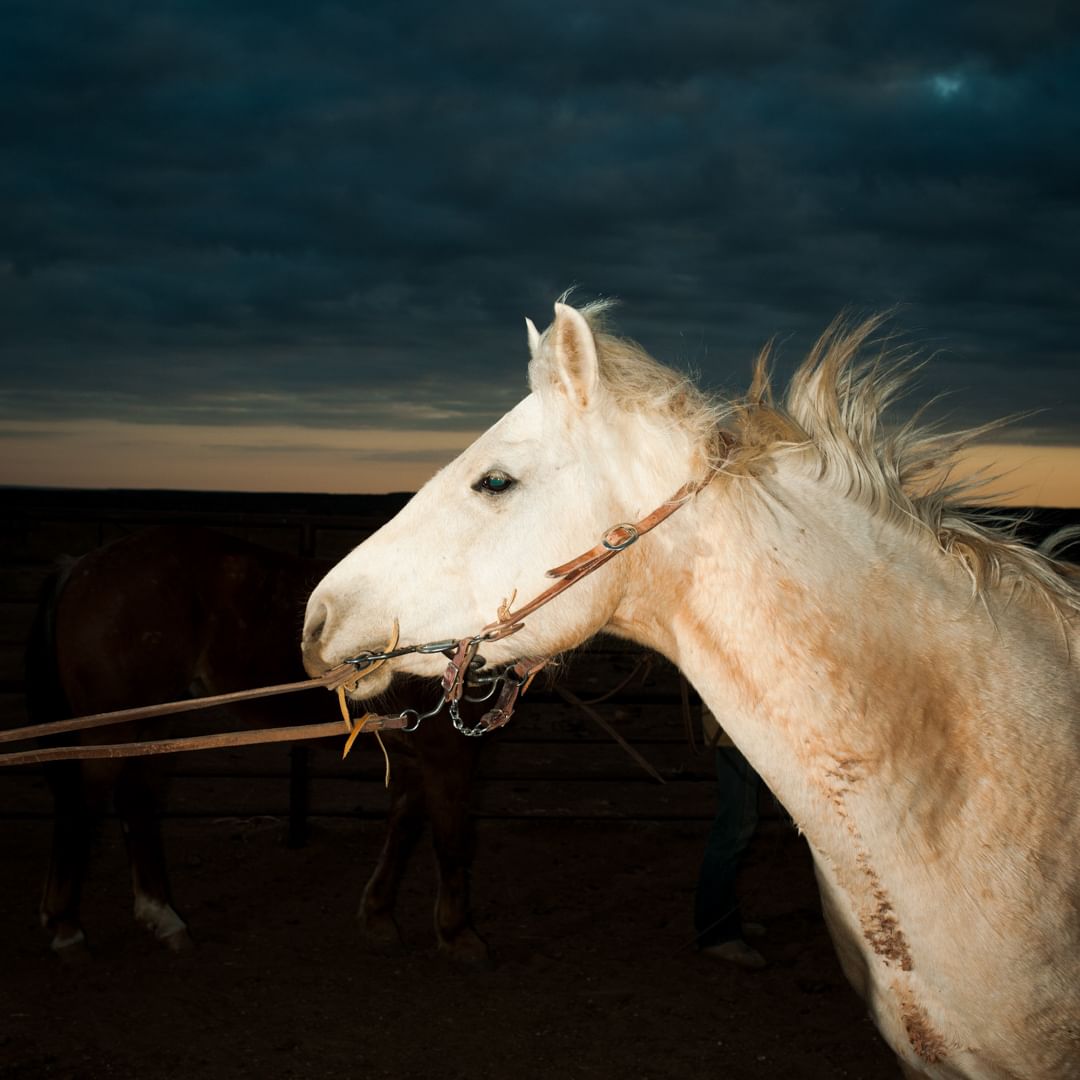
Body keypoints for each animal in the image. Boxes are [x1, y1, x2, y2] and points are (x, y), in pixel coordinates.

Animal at [25, 525, 492, 966]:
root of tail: (83, 564)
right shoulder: (449, 751)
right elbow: (451, 839)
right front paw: (458, 936)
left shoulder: (419, 754)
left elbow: (404, 829)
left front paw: (378, 918)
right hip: (110, 734)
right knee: (80, 809)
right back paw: (68, 930)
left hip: (151, 729)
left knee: (136, 803)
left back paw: (163, 918)